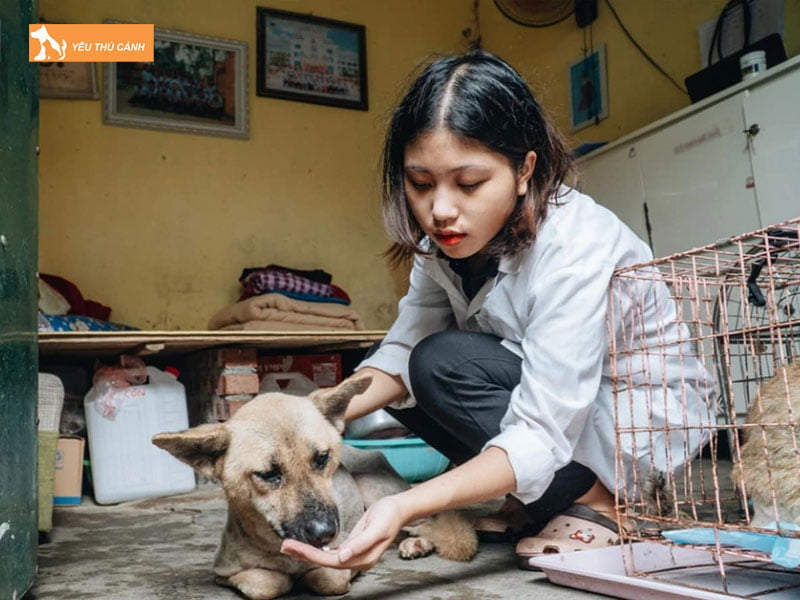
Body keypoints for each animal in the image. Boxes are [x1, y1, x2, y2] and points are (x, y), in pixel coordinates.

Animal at [152, 372, 476, 596]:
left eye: (322, 458)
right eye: (269, 474)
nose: (325, 533)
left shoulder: (343, 557)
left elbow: (326, 577)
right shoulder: (223, 571)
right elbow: (264, 583)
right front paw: (283, 579)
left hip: (381, 495)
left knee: (430, 523)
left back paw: (416, 543)